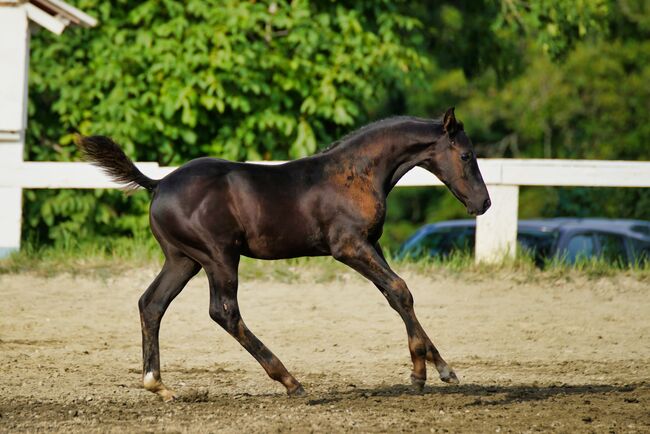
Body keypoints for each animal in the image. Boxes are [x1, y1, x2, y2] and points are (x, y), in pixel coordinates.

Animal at [78, 107, 491, 401]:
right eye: (467, 155)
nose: (484, 203)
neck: (355, 173)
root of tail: (159, 183)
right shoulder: (348, 247)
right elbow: (401, 289)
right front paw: (420, 374)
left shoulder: (370, 244)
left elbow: (395, 294)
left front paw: (443, 369)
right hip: (219, 257)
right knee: (224, 312)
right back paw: (290, 381)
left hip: (183, 259)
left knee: (152, 304)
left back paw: (158, 385)